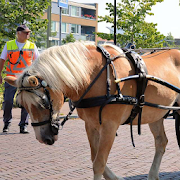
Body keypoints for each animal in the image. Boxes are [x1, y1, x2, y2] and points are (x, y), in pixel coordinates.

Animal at [4, 41, 180, 180]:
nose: (43, 139)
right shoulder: (91, 125)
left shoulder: (110, 126)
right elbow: (94, 158)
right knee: (161, 142)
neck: (97, 76)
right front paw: (116, 178)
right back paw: (153, 175)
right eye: (22, 105)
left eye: (43, 103)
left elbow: (99, 163)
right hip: (155, 114)